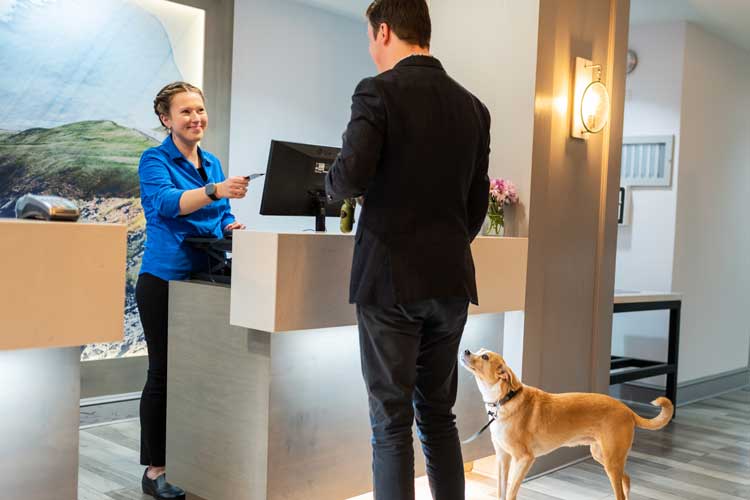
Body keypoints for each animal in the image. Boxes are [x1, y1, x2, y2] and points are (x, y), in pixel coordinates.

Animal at [458, 348, 676, 500]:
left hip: (611, 461)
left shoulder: (524, 459)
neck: (504, 400)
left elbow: (511, 492)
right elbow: (501, 491)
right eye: (479, 350)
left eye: (485, 357)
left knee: (620, 492)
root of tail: (627, 410)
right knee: (627, 479)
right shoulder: (502, 457)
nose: (466, 350)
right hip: (602, 455)